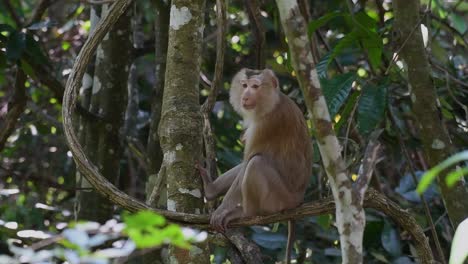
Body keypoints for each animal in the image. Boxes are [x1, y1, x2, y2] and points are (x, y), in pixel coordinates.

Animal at [199, 68, 312, 264]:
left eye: (255, 86)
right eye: (244, 85)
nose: (245, 95)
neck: (271, 102)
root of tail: (298, 200)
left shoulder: (267, 124)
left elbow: (249, 160)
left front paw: (221, 210)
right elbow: (243, 163)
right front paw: (212, 191)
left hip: (280, 199)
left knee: (255, 163)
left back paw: (247, 213)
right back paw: (210, 189)